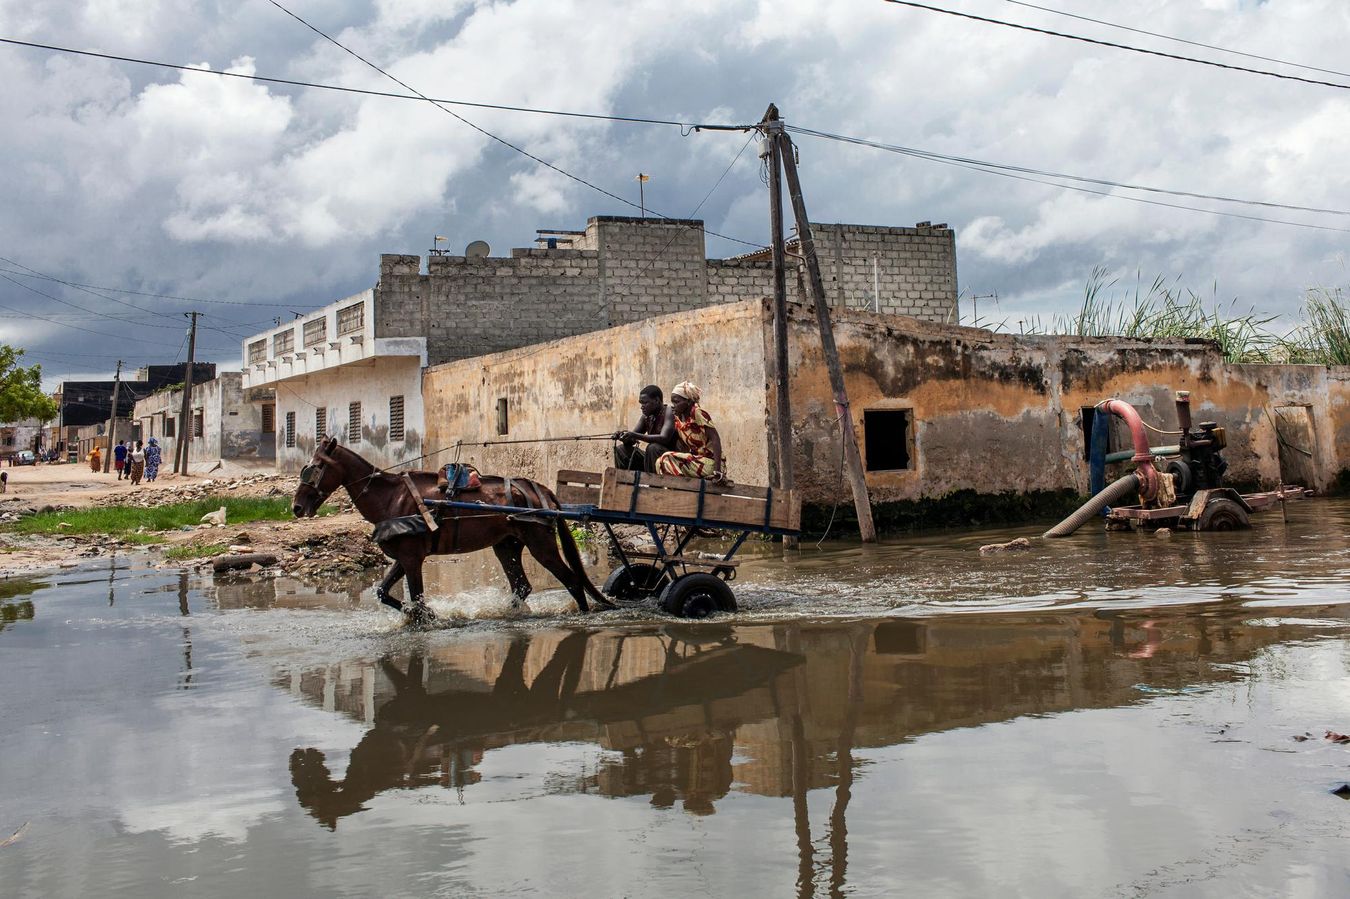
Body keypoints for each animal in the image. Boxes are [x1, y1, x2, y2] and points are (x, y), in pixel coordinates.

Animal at [295, 434, 612, 623]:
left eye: (314, 468)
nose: (297, 507)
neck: (390, 497)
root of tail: (540, 489)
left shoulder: (412, 559)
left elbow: (417, 597)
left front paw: (424, 617)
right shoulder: (404, 556)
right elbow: (384, 593)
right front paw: (420, 615)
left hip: (541, 544)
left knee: (572, 581)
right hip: (506, 545)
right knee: (522, 585)